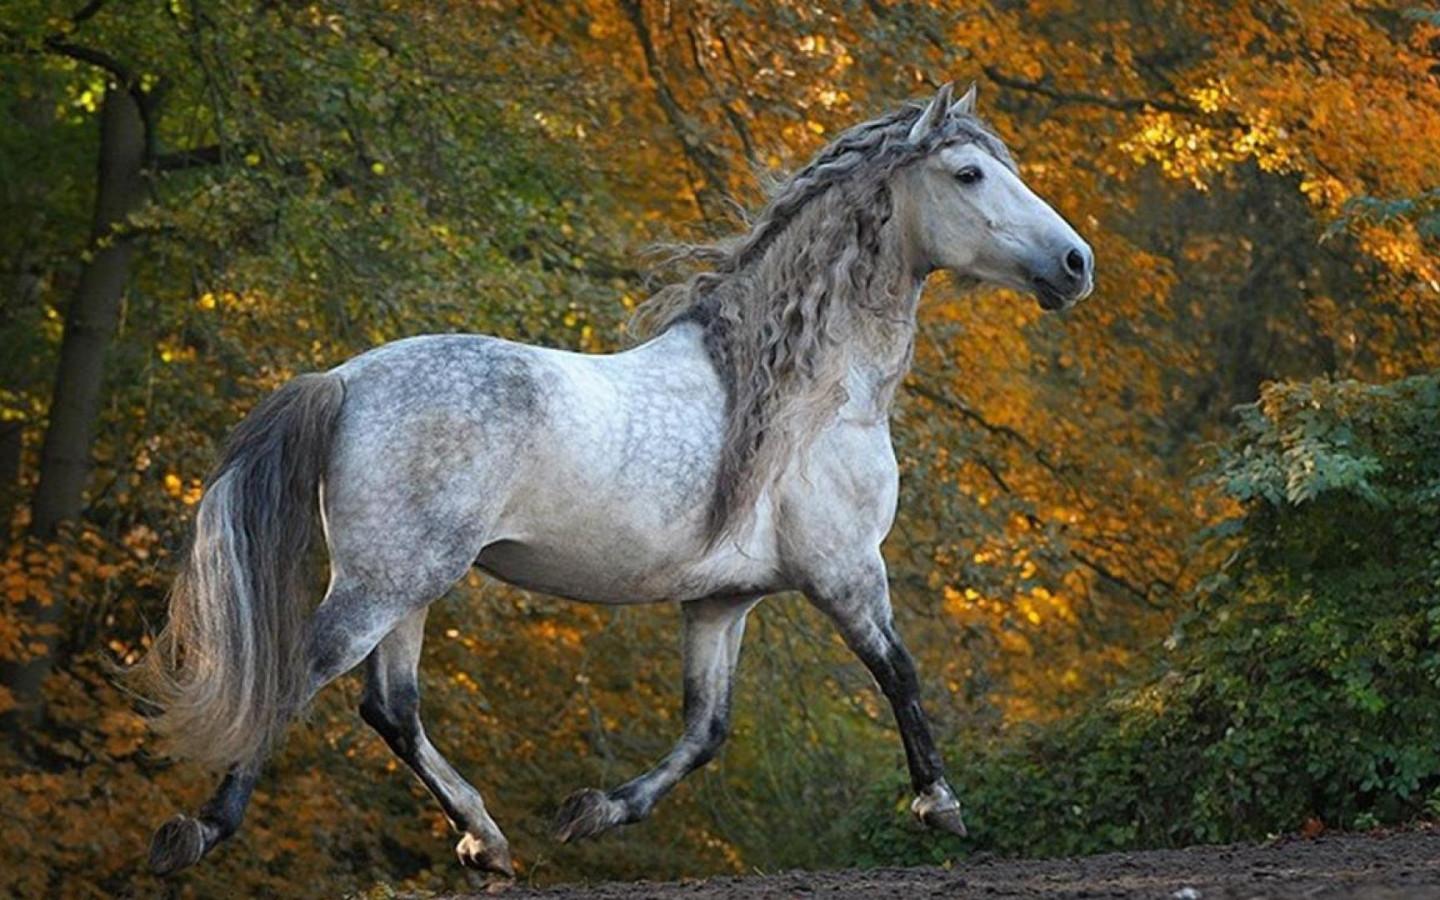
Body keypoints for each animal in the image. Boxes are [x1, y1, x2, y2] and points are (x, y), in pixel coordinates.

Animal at [140, 82, 1093, 878]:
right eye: (968, 174)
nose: (1076, 265)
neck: (809, 390)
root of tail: (343, 378)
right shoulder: (846, 571)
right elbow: (900, 671)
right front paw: (941, 805)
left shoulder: (722, 602)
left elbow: (706, 730)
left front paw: (595, 811)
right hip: (390, 579)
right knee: (305, 672)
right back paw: (201, 830)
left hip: (410, 584)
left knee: (392, 709)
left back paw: (487, 843)